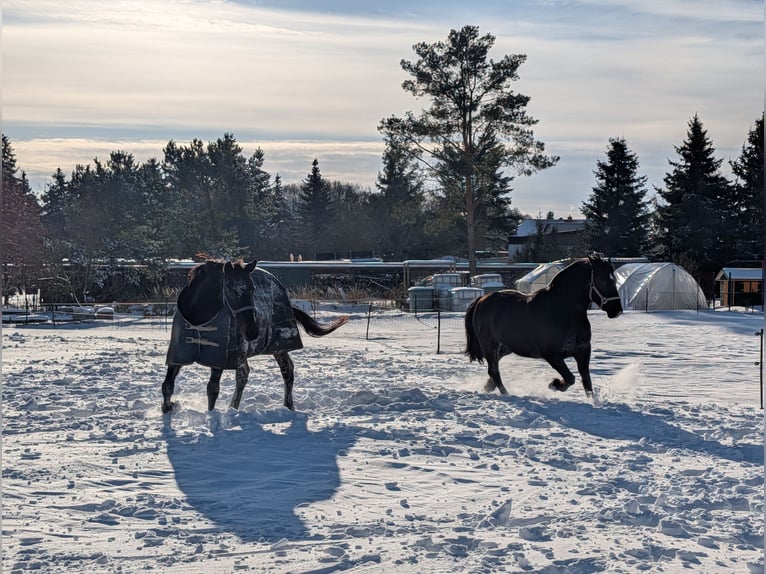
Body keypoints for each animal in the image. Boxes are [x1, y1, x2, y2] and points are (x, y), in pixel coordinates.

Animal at [161, 259, 348, 413]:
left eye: (252, 289)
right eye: (232, 290)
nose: (252, 331)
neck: (198, 319)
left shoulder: (219, 359)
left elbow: (212, 389)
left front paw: (211, 416)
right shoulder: (178, 355)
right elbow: (167, 385)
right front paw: (167, 409)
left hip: (278, 346)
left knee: (286, 370)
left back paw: (287, 406)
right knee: (245, 375)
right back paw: (236, 407)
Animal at [464, 254, 623, 398]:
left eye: (614, 280)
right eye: (603, 281)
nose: (617, 311)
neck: (564, 312)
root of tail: (481, 299)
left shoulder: (583, 351)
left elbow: (587, 383)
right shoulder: (551, 354)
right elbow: (570, 378)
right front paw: (554, 384)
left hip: (506, 347)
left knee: (494, 369)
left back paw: (488, 387)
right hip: (489, 345)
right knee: (494, 371)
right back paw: (506, 394)